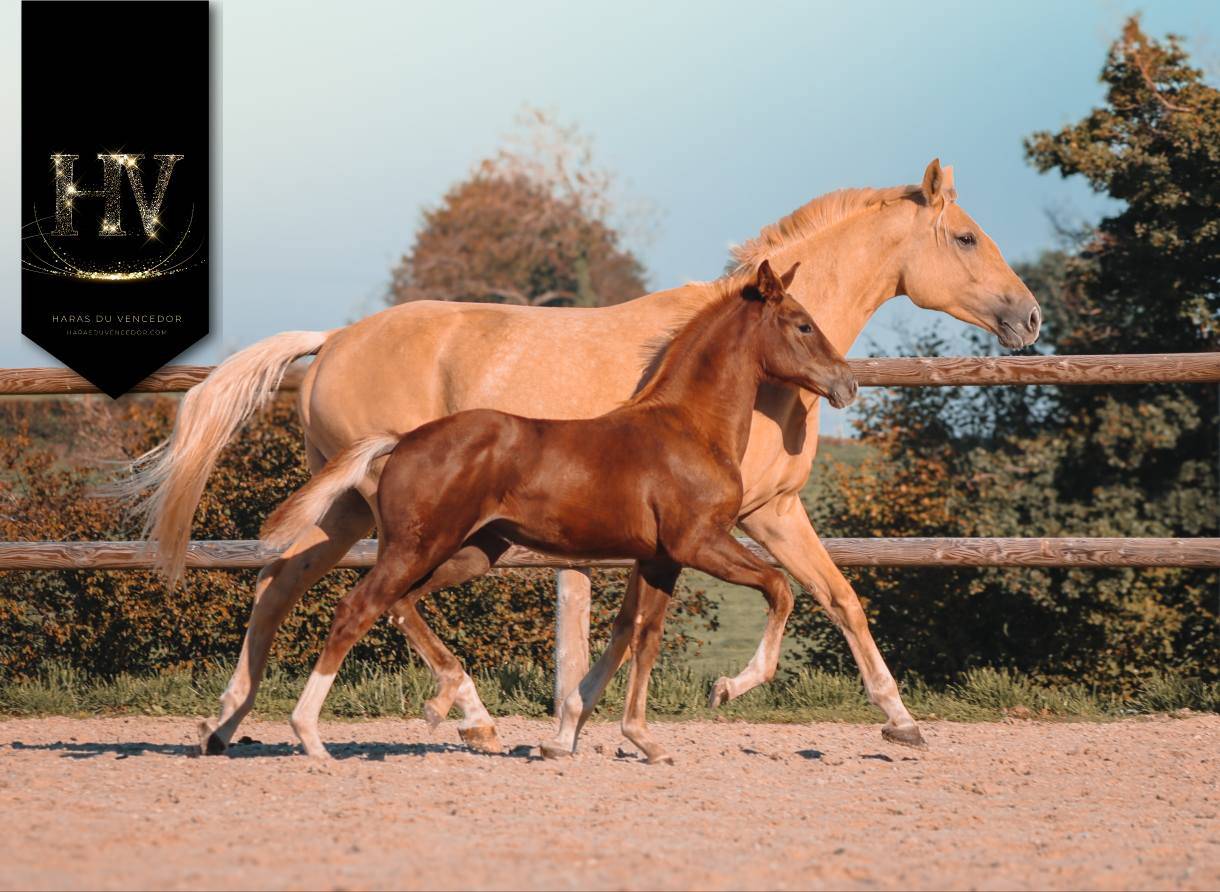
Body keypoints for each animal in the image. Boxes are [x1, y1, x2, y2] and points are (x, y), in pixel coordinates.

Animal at [261, 260, 856, 761]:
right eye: (803, 325)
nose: (845, 383)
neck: (686, 428)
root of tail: (403, 440)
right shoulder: (700, 543)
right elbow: (779, 588)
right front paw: (728, 687)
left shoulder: (662, 559)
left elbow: (644, 637)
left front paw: (643, 740)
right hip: (419, 546)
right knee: (356, 609)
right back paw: (312, 737)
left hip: (470, 552)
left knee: (398, 604)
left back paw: (444, 705)